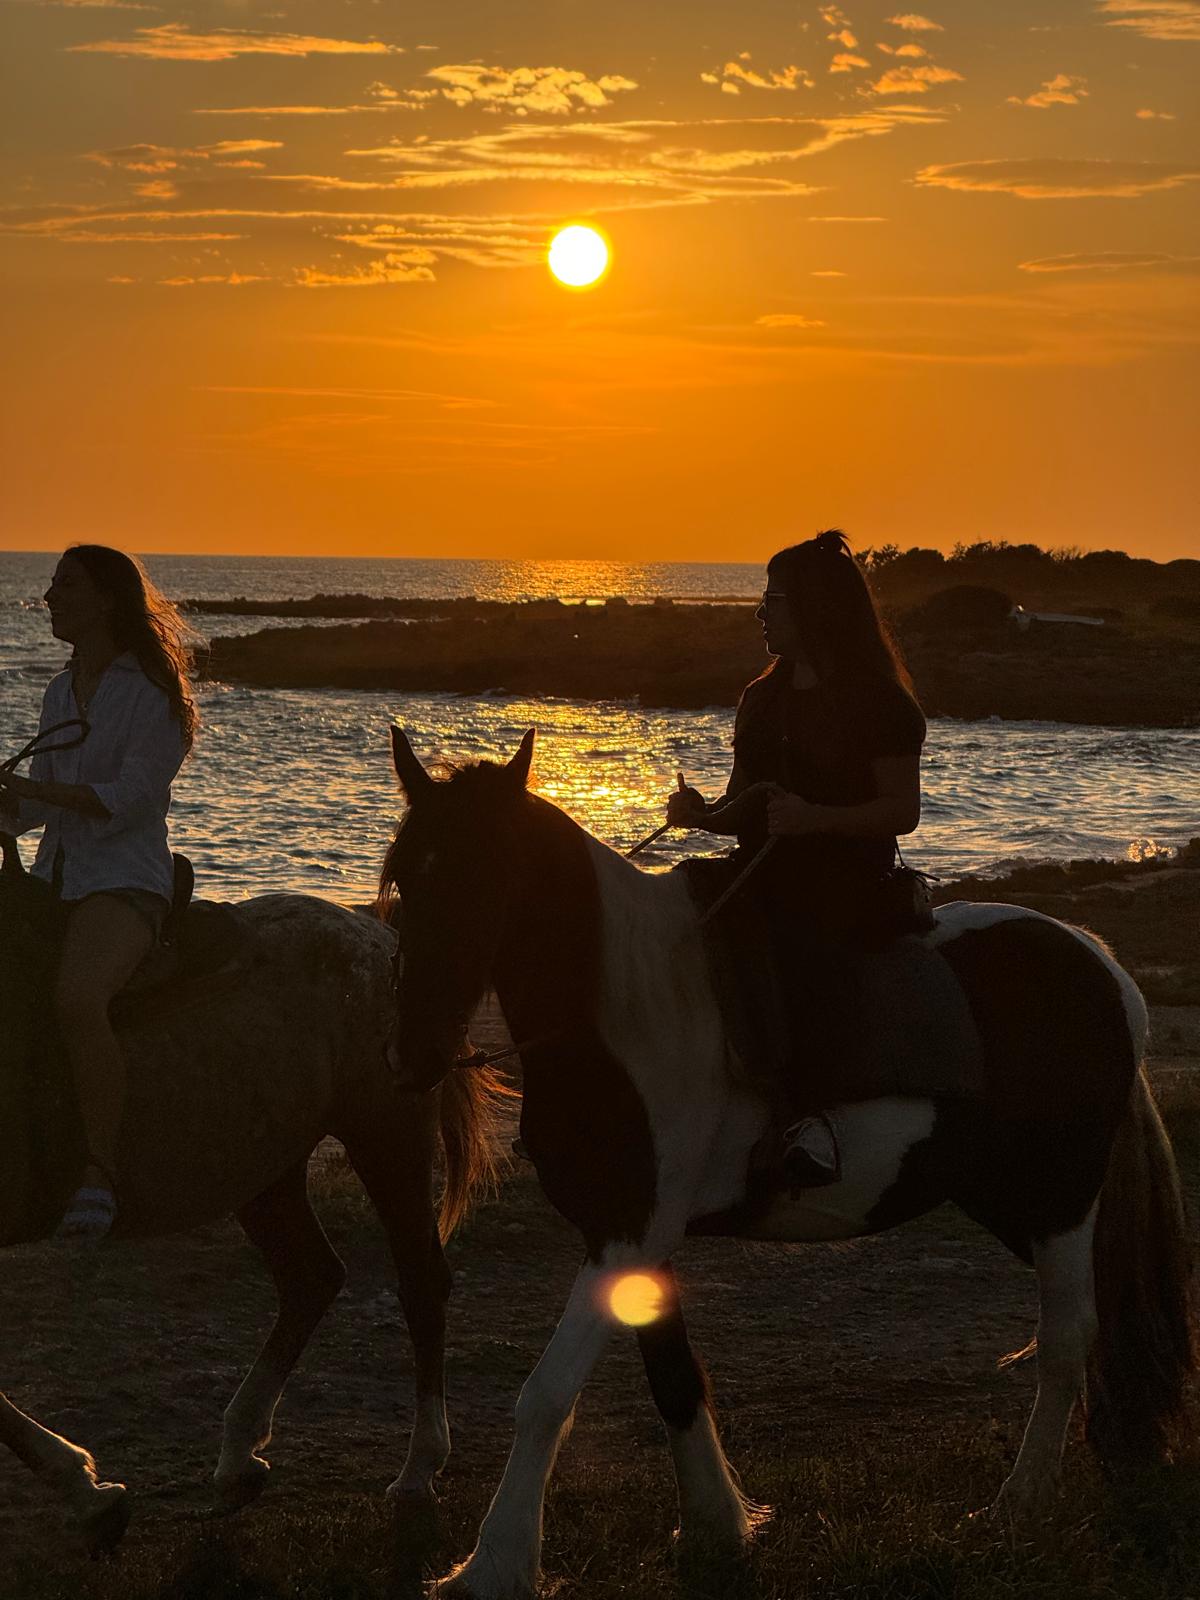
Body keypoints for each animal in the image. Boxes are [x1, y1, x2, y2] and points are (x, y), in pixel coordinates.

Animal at [0, 836, 505, 1553]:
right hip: (266, 1168)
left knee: (420, 1281)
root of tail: (381, 938)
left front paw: (86, 1490)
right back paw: (239, 1457)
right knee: (312, 1277)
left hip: (385, 1140)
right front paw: (88, 1491)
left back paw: (418, 1468)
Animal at [380, 727, 1196, 1600]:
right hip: (1010, 1199)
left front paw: (492, 1565)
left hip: (1062, 1196)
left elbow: (546, 1397)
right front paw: (718, 1527)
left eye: (485, 877)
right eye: (402, 880)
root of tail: (1101, 967)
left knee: (1067, 1337)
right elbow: (676, 1380)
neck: (622, 1014)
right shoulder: (639, 1236)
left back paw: (1020, 1503)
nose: (416, 1056)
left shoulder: (626, 1229)